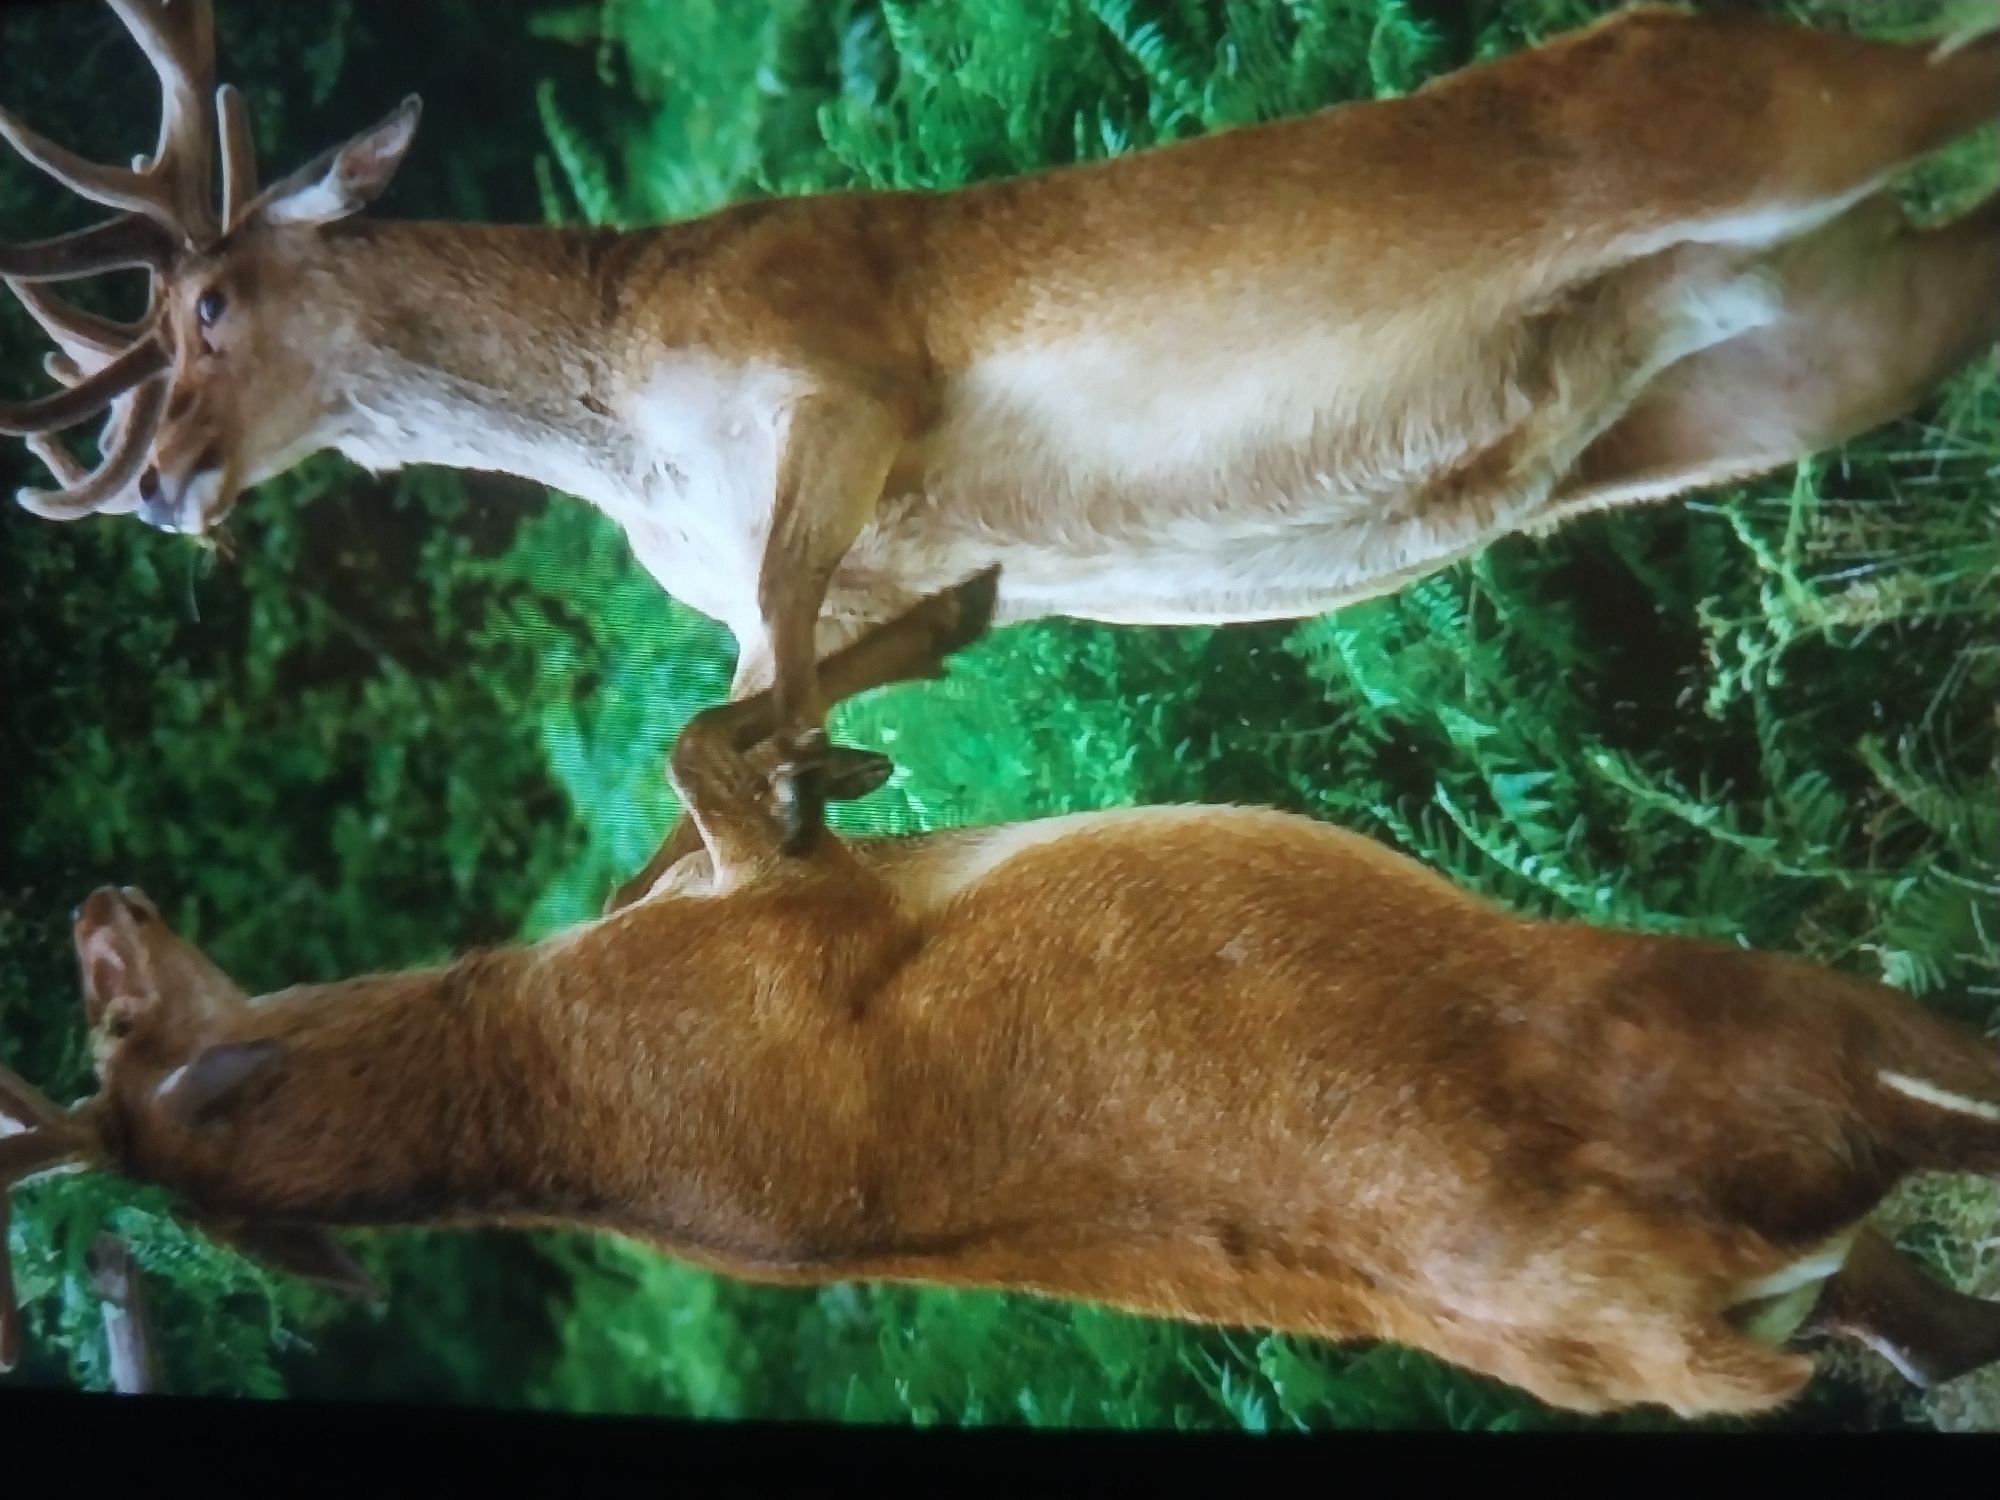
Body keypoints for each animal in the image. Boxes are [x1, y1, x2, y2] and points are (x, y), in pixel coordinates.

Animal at [3, 1, 1997, 899]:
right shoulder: (869, 571)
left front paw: (822, 786)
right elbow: (739, 734)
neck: (619, 404)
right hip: (1802, 349)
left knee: (1947, 62)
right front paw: (835, 777)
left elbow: (697, 731)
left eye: (205, 307)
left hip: (1787, 120)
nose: (159, 488)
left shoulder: (838, 375)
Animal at [3, 566, 1999, 1419]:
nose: (94, 897)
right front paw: (926, 637)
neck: (545, 1052)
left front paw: (856, 723)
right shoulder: (780, 919)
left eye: (111, 1020)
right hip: (1766, 1026)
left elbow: (690, 766)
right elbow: (698, 739)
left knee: (1941, 1328)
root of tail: (1682, 1304)